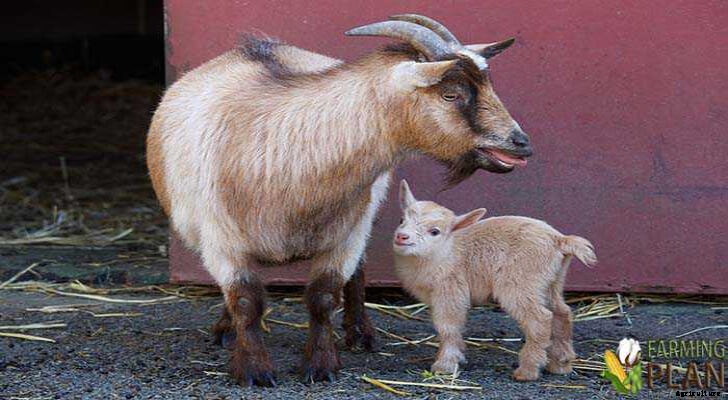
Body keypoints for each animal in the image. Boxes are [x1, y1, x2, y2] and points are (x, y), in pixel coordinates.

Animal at [146, 14, 532, 386]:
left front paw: (321, 365)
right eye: (450, 95)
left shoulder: (345, 235)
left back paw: (359, 333)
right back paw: (227, 331)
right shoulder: (221, 240)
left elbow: (323, 297)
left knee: (358, 271)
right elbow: (245, 301)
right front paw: (254, 370)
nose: (521, 143)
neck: (288, 151)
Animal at [393, 180, 596, 381]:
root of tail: (560, 240)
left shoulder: (450, 290)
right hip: (550, 282)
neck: (445, 250)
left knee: (540, 318)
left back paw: (527, 371)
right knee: (562, 312)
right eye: (401, 220)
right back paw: (561, 364)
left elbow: (448, 327)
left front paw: (445, 365)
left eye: (434, 231)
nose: (401, 236)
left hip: (519, 283)